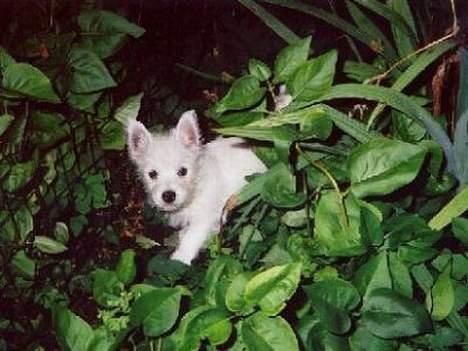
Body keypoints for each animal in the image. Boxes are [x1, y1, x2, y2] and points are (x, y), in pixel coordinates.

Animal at [126, 111, 266, 266]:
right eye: (152, 174)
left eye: (183, 171)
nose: (168, 196)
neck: (196, 187)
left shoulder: (208, 215)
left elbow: (192, 236)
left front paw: (181, 257)